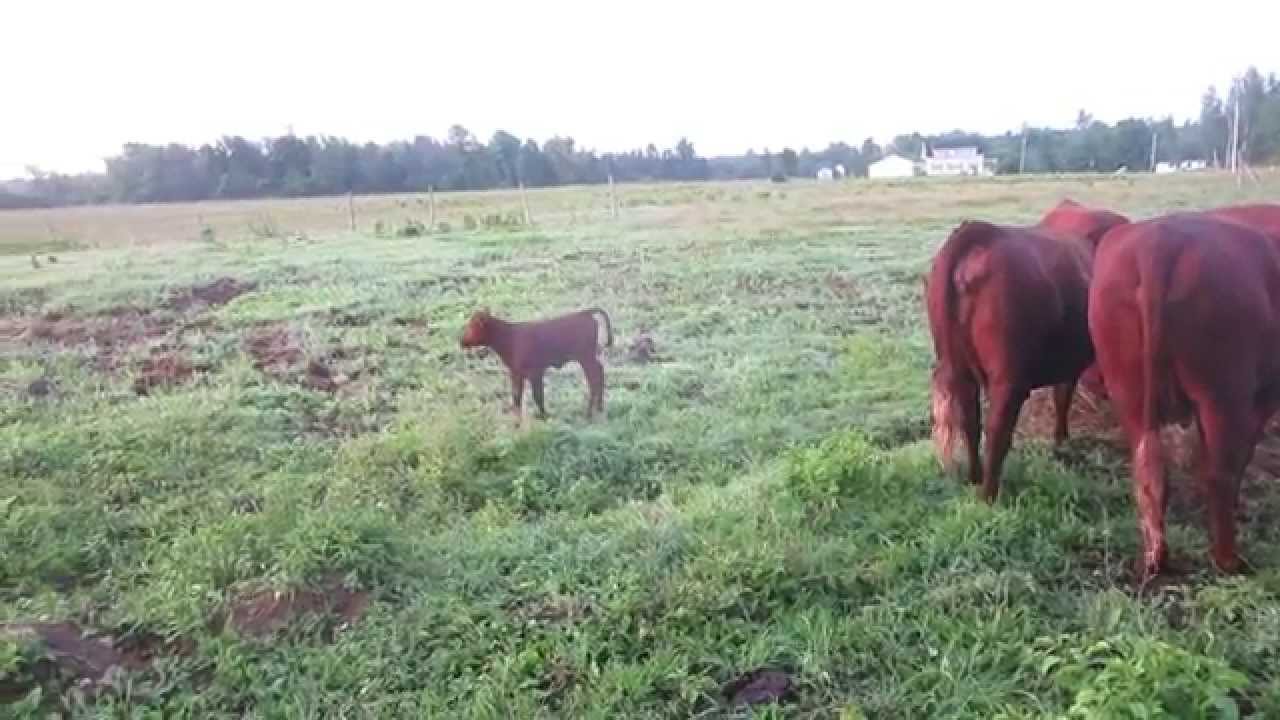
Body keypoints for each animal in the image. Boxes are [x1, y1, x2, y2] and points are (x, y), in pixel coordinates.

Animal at [460, 307, 614, 420]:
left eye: (473, 326)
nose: (461, 341)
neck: (510, 338)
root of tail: (585, 313)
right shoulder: (516, 373)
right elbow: (517, 396)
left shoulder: (535, 373)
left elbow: (537, 395)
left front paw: (544, 415)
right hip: (588, 357)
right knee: (599, 372)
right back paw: (599, 407)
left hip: (585, 357)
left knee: (594, 378)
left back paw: (589, 412)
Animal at [926, 200, 1128, 502]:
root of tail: (984, 233)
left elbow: (1061, 396)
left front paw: (1060, 441)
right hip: (1007, 378)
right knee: (997, 429)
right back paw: (989, 496)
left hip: (957, 366)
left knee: (970, 420)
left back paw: (975, 478)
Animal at [1089, 214, 1280, 579]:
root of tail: (1159, 241)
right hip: (1222, 395)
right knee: (1219, 474)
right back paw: (1228, 561)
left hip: (1129, 392)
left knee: (1149, 469)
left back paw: (1155, 560)